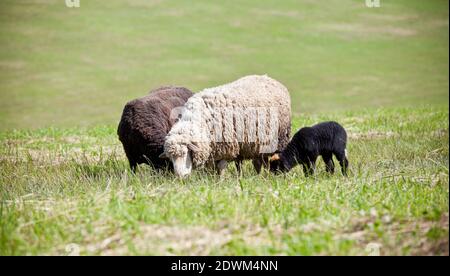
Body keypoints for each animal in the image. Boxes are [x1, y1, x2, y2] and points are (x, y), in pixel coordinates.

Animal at [160, 74, 290, 177]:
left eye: (184, 153)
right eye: (171, 158)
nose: (180, 177)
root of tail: (269, 79)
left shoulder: (225, 147)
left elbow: (221, 167)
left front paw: (220, 181)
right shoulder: (213, 150)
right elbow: (212, 168)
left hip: (279, 138)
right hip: (258, 144)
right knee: (259, 161)